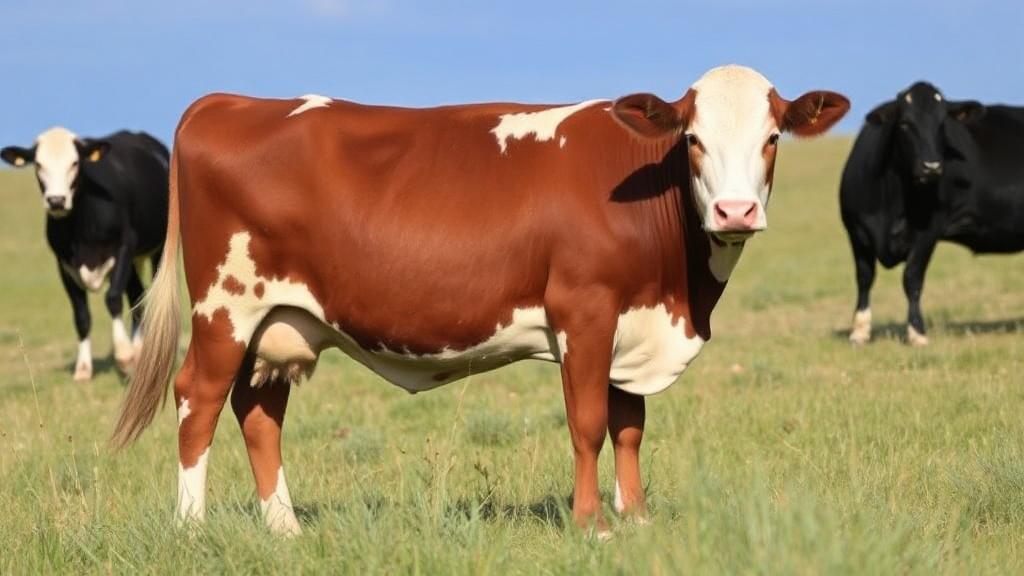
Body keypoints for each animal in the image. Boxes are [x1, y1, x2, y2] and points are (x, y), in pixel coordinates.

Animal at [2, 129, 169, 379]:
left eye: (74, 163)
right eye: (39, 164)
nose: (56, 200)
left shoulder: (124, 247)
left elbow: (113, 298)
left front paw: (124, 355)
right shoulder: (64, 264)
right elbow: (81, 315)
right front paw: (83, 369)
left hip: (157, 249)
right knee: (137, 296)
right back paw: (139, 351)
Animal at [112, 65, 848, 537]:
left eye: (772, 138)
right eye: (693, 139)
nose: (736, 211)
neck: (678, 290)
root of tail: (227, 102)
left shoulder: (634, 324)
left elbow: (630, 425)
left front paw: (635, 517)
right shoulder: (585, 309)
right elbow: (587, 422)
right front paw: (591, 525)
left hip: (282, 323)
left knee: (258, 412)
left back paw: (286, 529)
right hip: (225, 309)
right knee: (198, 401)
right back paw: (190, 529)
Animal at [840, 82, 1024, 346]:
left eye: (942, 123)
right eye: (905, 123)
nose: (932, 166)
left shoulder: (928, 232)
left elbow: (912, 278)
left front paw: (917, 332)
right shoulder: (857, 230)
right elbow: (864, 277)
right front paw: (859, 331)